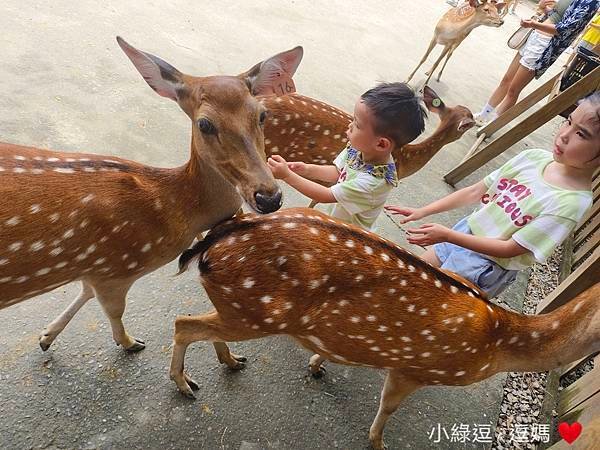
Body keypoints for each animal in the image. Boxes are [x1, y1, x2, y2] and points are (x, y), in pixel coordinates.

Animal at [0, 37, 304, 352]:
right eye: (205, 124)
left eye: (262, 115)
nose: (268, 197)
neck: (173, 208)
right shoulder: (115, 269)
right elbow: (113, 309)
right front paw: (129, 342)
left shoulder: (94, 269)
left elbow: (85, 290)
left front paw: (47, 335)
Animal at [169, 207, 600, 450]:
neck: (499, 341)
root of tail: (213, 241)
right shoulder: (416, 368)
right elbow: (388, 406)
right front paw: (378, 443)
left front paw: (316, 364)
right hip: (255, 312)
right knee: (182, 323)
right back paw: (186, 384)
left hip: (239, 308)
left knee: (203, 326)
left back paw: (231, 361)